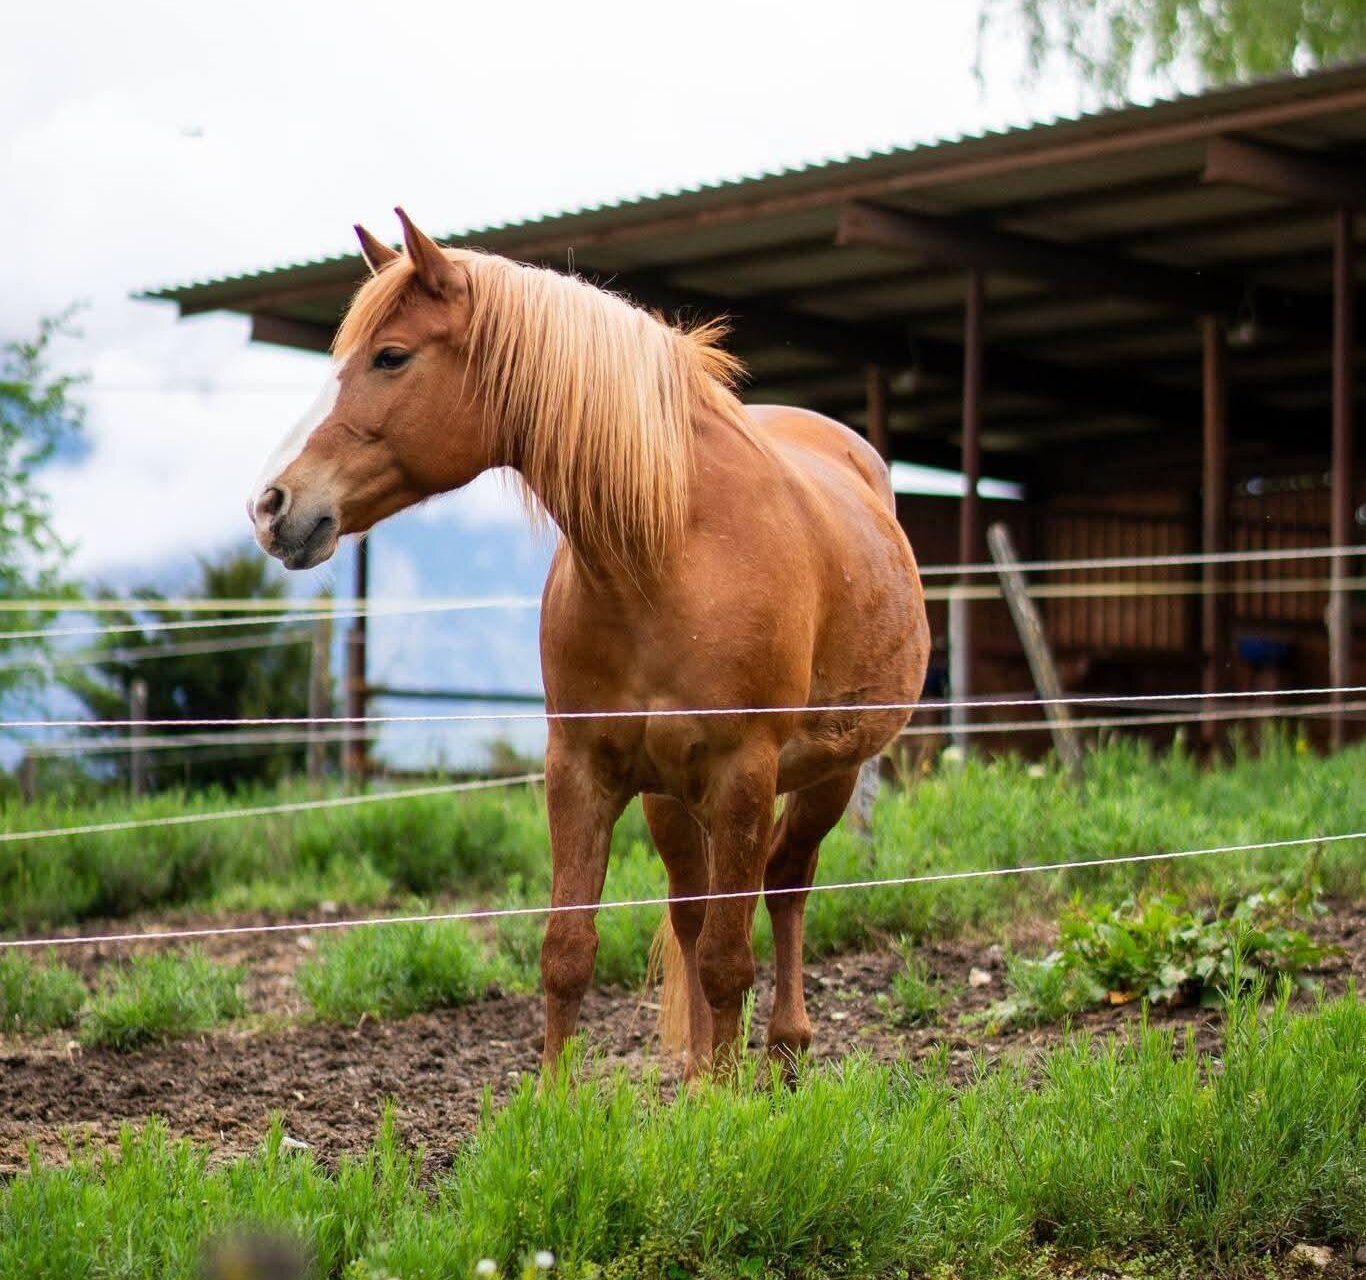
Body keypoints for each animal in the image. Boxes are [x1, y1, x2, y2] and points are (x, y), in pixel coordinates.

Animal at [248, 209, 930, 1077]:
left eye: (391, 356)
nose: (272, 506)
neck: (671, 552)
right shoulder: (581, 768)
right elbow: (570, 950)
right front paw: (560, 1099)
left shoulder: (744, 772)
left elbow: (727, 958)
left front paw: (728, 1100)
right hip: (673, 795)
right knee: (691, 907)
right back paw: (698, 1069)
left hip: (827, 774)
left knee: (785, 884)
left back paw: (783, 1044)